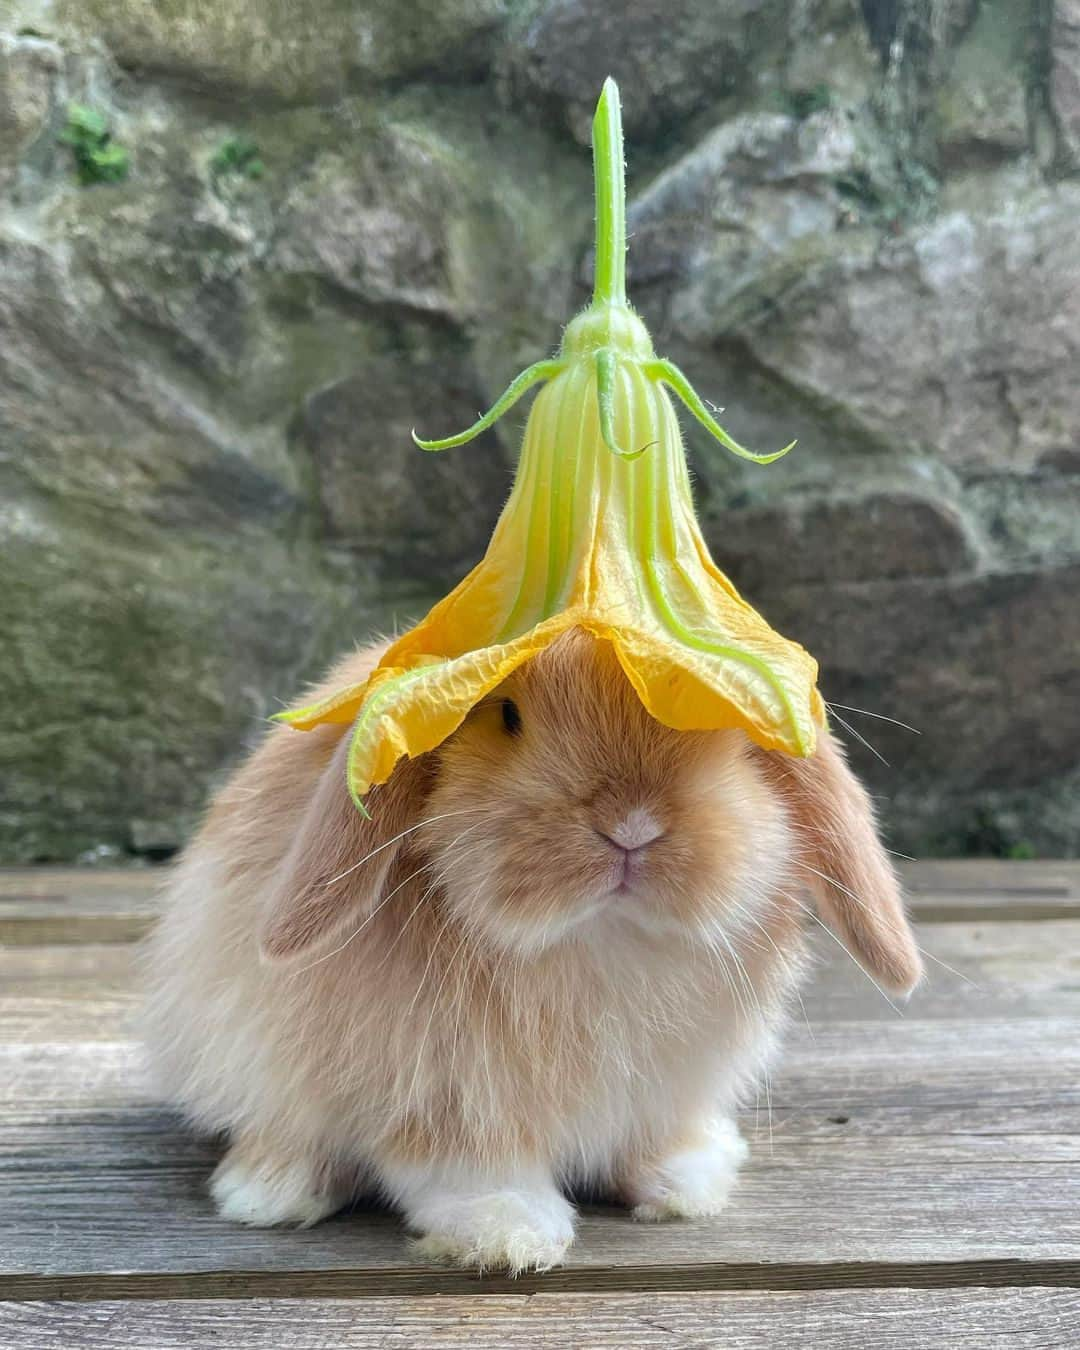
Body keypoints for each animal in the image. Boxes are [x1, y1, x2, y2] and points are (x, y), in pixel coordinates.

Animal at [141, 626, 918, 1269]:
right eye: (507, 713)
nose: (631, 826)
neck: (599, 943)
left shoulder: (667, 1087)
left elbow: (656, 1141)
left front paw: (687, 1183)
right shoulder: (444, 1098)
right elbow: (468, 1171)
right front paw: (508, 1232)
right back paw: (270, 1192)